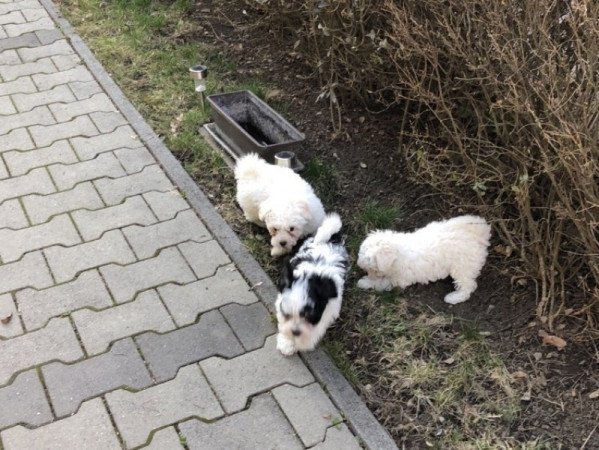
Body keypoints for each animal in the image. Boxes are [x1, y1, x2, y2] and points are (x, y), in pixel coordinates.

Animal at [276, 213, 350, 356]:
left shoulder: (327, 310)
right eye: (288, 314)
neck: (310, 275)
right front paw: (287, 341)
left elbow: (316, 328)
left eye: (309, 316)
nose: (296, 332)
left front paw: (303, 342)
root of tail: (329, 239)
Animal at [358, 215, 490, 306]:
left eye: (373, 269)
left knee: (467, 285)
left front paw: (364, 282)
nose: (369, 275)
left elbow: (380, 282)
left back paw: (453, 297)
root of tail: (479, 235)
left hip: (463, 265)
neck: (397, 253)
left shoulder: (398, 279)